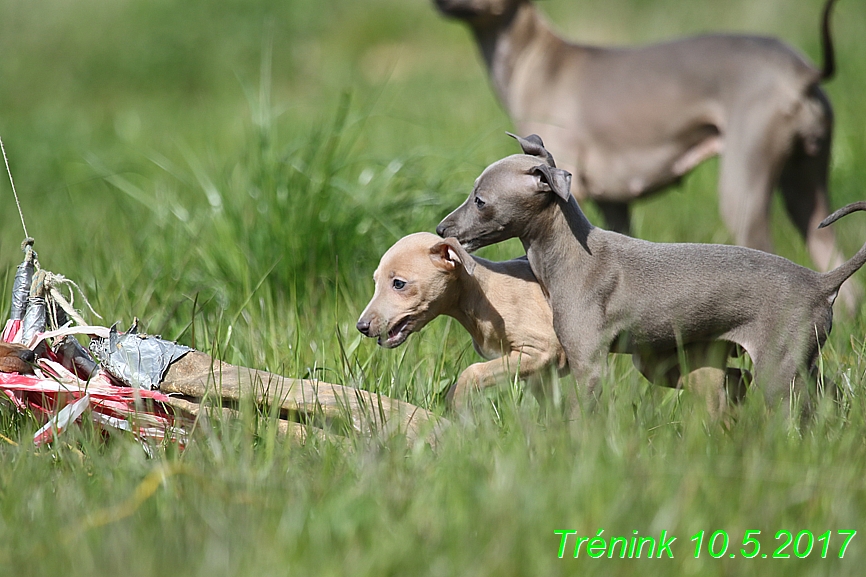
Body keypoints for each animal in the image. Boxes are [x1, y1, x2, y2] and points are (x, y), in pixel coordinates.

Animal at [354, 232, 564, 408]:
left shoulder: (540, 351)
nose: (361, 326)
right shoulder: (540, 374)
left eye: (398, 283)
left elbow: (473, 372)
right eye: (375, 282)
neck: (483, 298)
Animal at [430, 1, 852, 310]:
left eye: (480, 200)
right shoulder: (614, 203)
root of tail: (800, 71)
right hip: (806, 186)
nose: (440, 230)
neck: (539, 61)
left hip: (744, 185)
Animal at [438, 134, 864, 414]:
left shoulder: (587, 362)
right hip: (793, 361)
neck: (571, 254)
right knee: (821, 390)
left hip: (779, 366)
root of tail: (820, 282)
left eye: (480, 201)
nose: (442, 230)